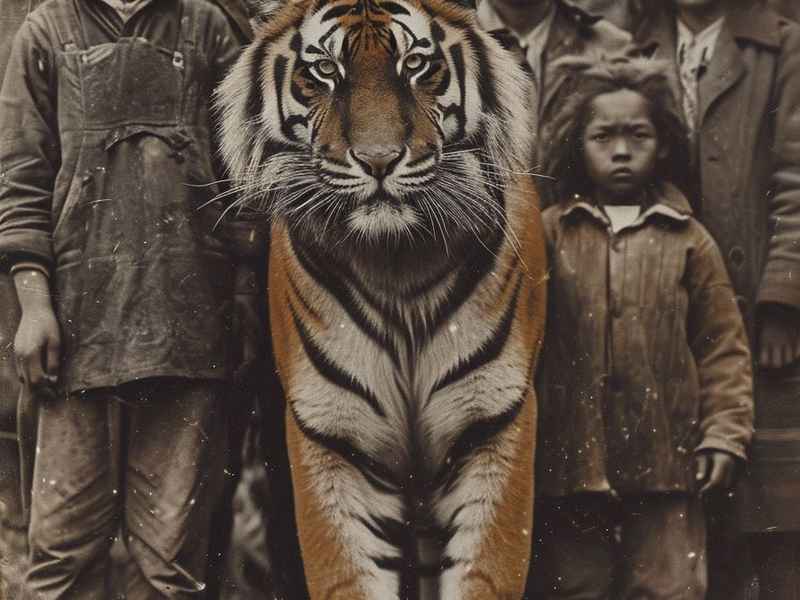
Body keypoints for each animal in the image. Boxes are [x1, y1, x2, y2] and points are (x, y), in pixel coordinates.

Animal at [215, 0, 547, 597]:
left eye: (415, 64)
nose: (378, 160)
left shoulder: (492, 421)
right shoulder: (333, 435)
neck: (398, 264)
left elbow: (484, 570)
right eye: (325, 70)